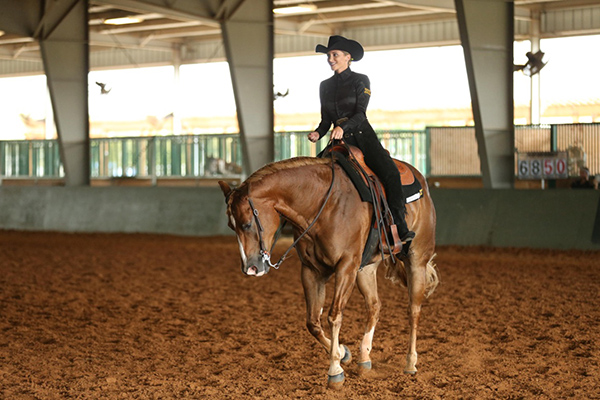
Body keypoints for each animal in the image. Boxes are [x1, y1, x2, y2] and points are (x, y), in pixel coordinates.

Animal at [218, 155, 438, 390]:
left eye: (247, 224)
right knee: (374, 306)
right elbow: (313, 322)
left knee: (413, 310)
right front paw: (343, 353)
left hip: (416, 260)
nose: (250, 268)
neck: (324, 205)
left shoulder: (346, 267)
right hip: (366, 269)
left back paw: (411, 363)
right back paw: (364, 358)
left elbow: (334, 316)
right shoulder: (312, 271)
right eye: (231, 226)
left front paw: (335, 370)